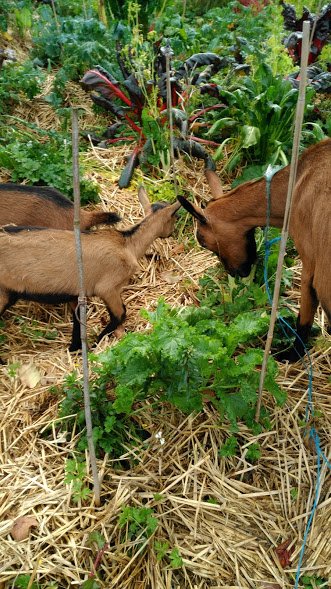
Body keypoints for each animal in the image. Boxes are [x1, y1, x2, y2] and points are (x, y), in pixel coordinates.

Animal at [0, 187, 182, 358]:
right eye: (174, 218)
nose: (171, 233)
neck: (127, 243)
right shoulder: (108, 288)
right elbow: (120, 314)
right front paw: (95, 344)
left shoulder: (77, 293)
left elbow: (78, 319)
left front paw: (75, 348)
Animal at [179, 138, 331, 358]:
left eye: (204, 242)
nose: (235, 273)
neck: (295, 184)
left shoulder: (311, 263)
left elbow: (304, 318)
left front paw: (289, 355)